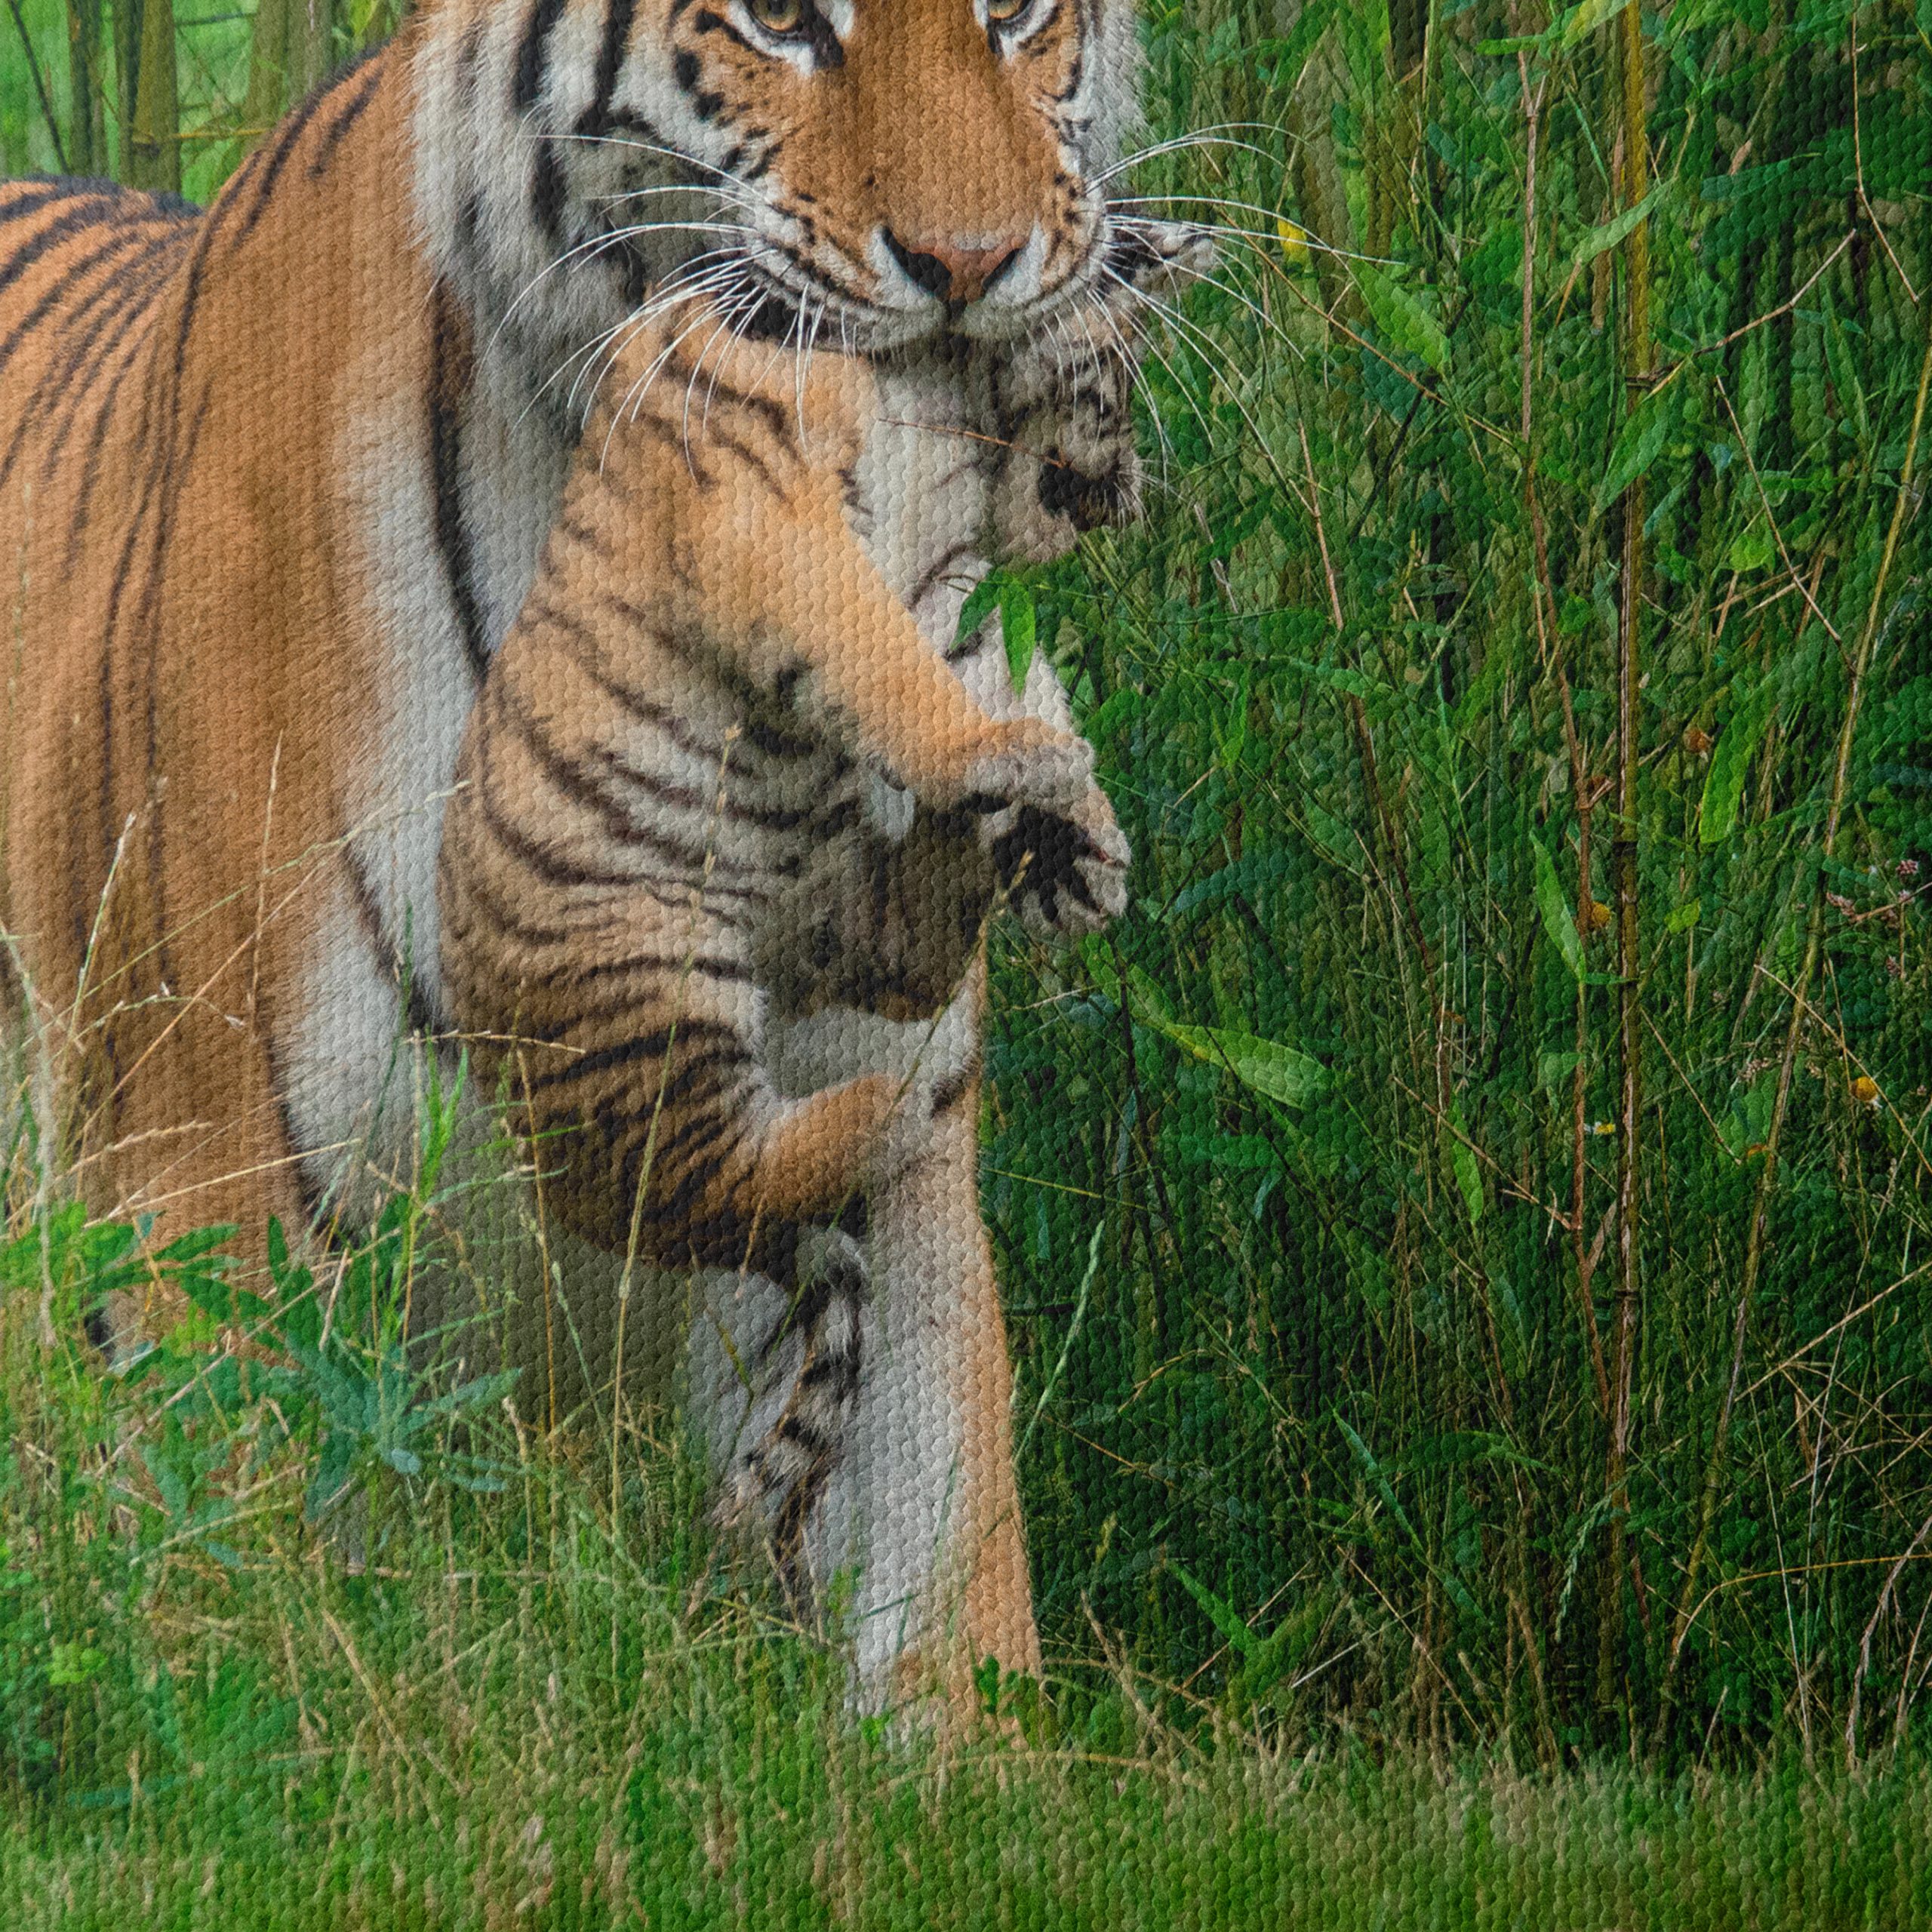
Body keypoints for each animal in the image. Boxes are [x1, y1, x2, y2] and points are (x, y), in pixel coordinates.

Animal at [0, 0, 1190, 1711]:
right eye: (782, 23)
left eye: (1016, 19)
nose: (976, 266)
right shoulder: (200, 1186)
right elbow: (228, 1636)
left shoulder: (879, 1174)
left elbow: (941, 1573)